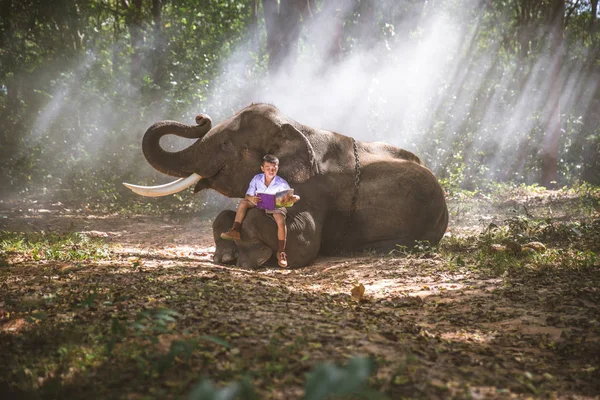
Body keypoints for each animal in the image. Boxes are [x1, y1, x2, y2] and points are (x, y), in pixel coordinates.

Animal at [124, 102, 448, 268]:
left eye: (226, 145)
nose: (200, 117)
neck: (296, 126)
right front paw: (226, 255)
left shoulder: (315, 189)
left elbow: (304, 243)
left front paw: (253, 258)